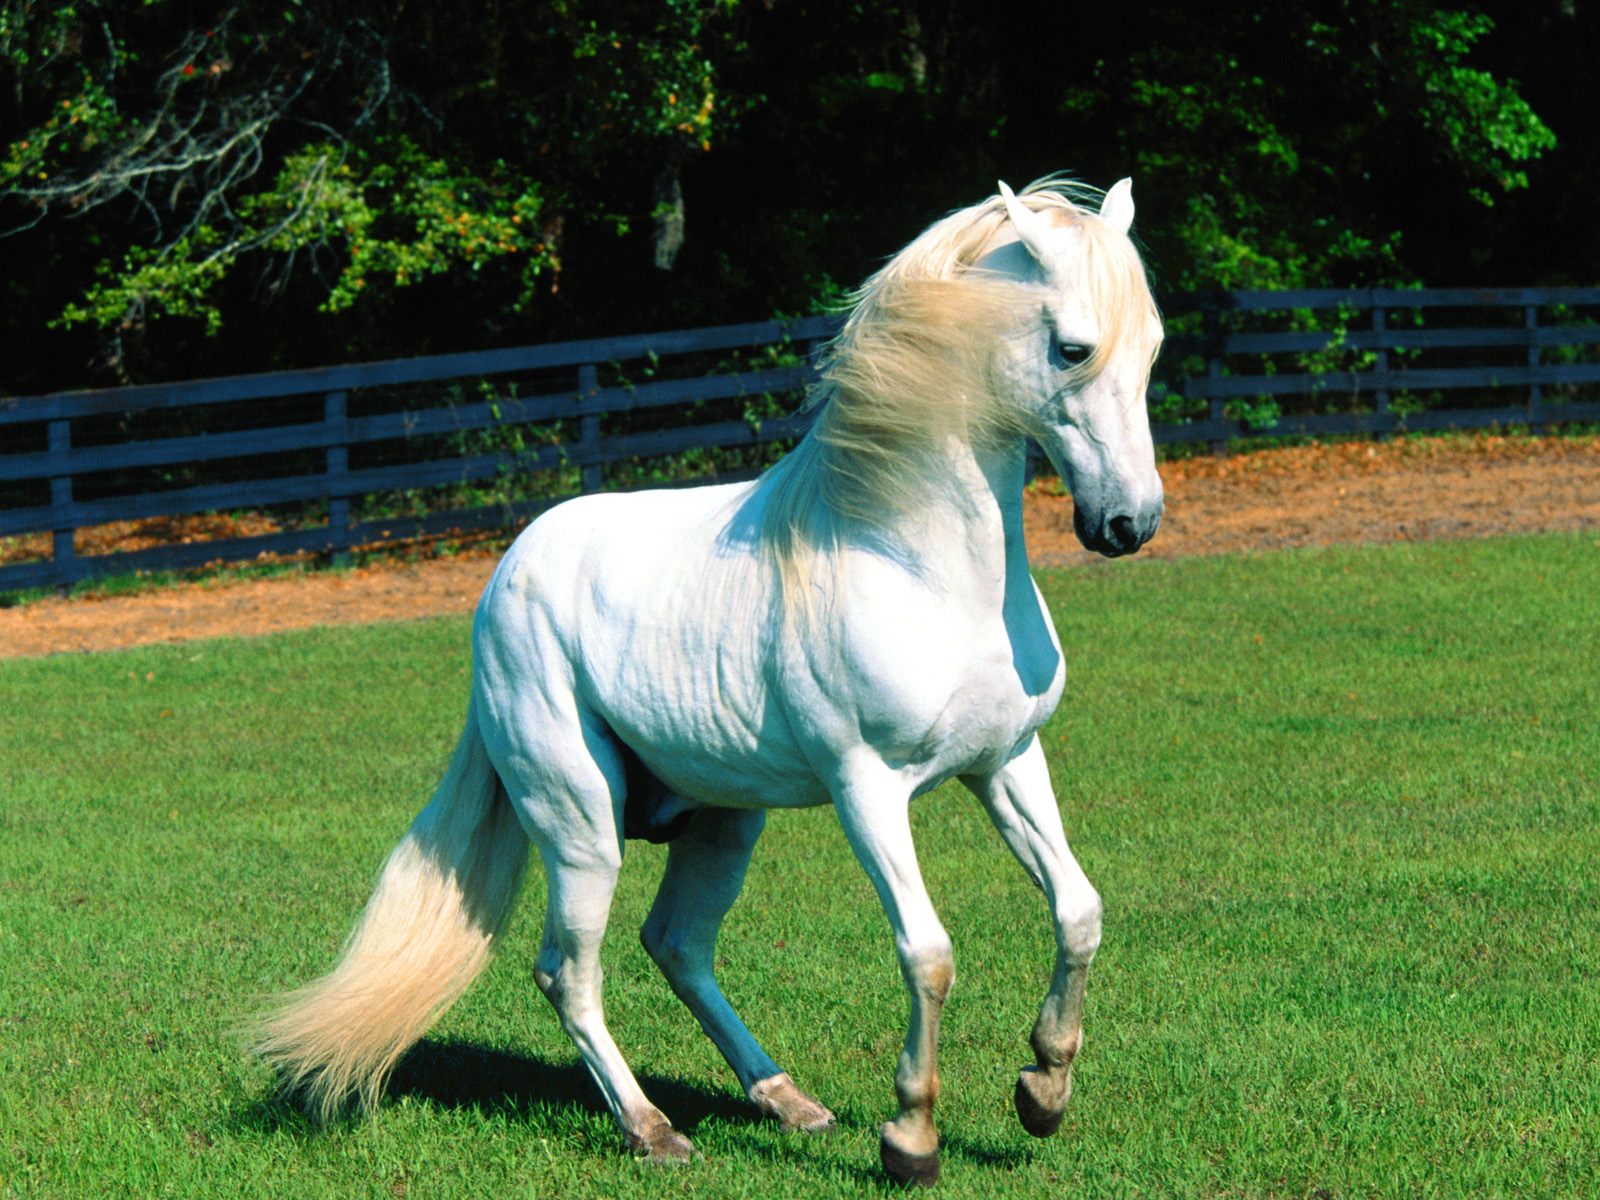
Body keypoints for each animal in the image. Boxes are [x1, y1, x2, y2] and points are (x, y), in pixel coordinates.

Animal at [259, 173, 1164, 1190]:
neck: (916, 565)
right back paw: (651, 1130)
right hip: (580, 824)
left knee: (678, 944)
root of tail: (506, 576)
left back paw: (787, 1102)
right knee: (568, 971)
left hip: (725, 821)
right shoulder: (868, 790)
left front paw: (1042, 1093)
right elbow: (927, 954)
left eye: (1152, 346)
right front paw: (911, 1140)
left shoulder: (1006, 762)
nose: (1129, 524)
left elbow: (1078, 911)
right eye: (1073, 347)